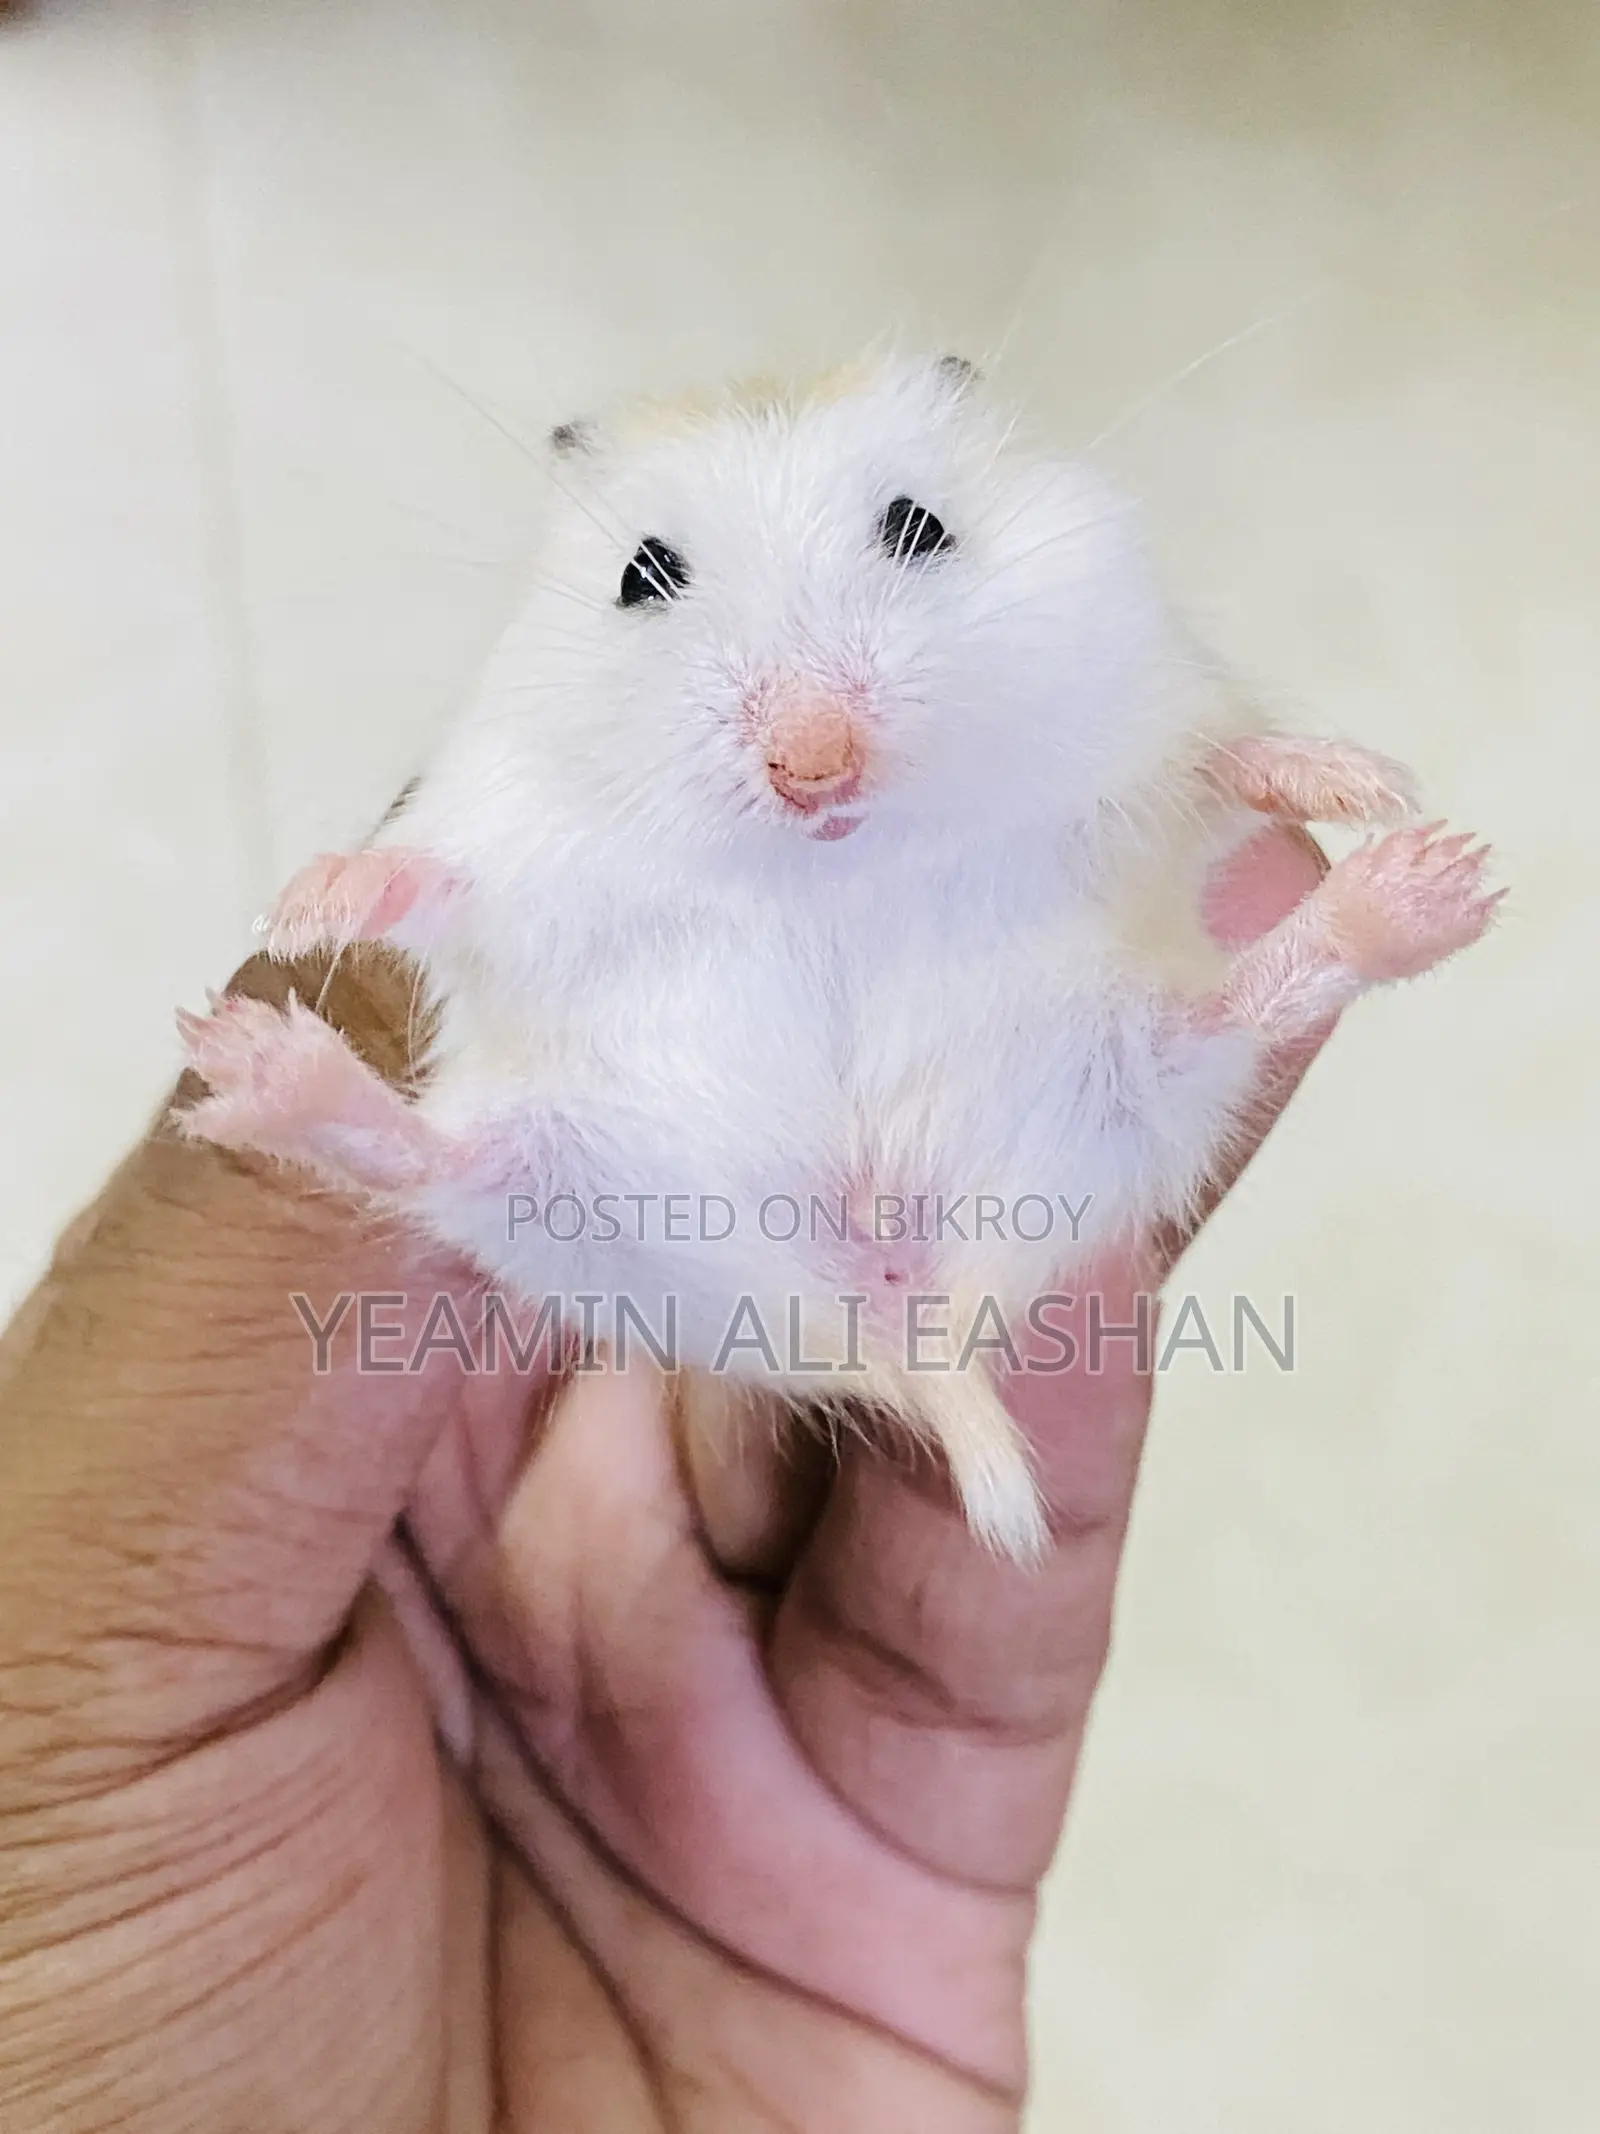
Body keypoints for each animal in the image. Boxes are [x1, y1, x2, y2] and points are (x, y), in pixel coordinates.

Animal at [177, 353, 1498, 1562]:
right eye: (642, 575)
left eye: (918, 527)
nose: (813, 763)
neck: (825, 864)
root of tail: (896, 1327)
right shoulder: (508, 825)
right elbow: (433, 875)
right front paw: (300, 912)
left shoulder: (1148, 706)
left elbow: (1226, 759)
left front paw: (1366, 782)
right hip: (567, 1183)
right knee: (430, 1157)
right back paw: (249, 1063)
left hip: (1116, 1067)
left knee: (1231, 1007)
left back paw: (1430, 883)